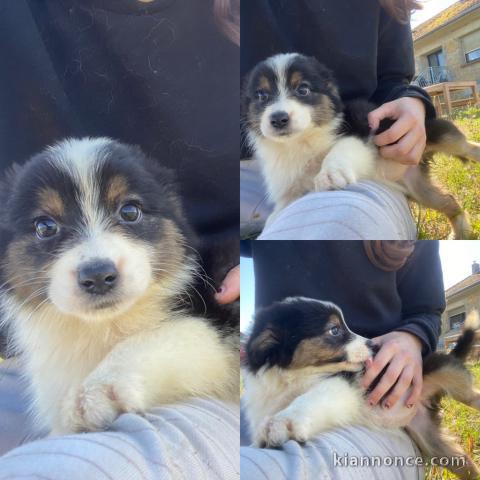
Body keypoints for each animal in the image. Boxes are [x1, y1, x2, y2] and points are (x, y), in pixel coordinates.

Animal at [0, 136, 239, 436]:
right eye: (45, 226)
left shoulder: (216, 325)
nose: (98, 276)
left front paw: (95, 391)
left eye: (129, 211)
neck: (104, 326)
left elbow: (169, 333)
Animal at [244, 53, 480, 238]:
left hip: (436, 133)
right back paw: (461, 234)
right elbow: (277, 214)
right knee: (449, 201)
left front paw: (330, 174)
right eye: (261, 95)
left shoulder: (360, 133)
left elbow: (340, 150)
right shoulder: (291, 190)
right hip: (418, 188)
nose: (278, 119)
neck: (299, 141)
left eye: (303, 89)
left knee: (464, 145)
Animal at [244, 298, 480, 478]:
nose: (375, 346)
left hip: (446, 372)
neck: (294, 375)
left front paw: (284, 423)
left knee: (470, 394)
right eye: (334, 330)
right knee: (467, 465)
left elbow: (310, 397)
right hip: (433, 442)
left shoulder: (339, 384)